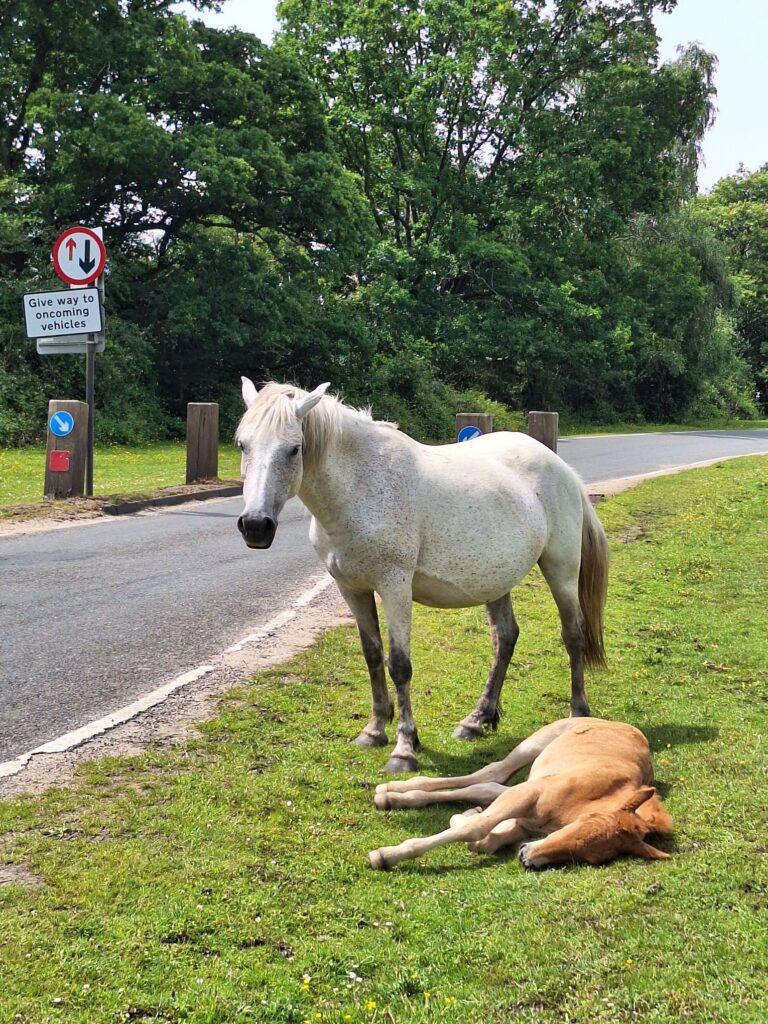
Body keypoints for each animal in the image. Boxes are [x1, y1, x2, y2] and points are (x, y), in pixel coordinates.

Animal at [235, 379, 609, 774]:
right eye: (242, 444)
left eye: (294, 449)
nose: (256, 526)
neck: (361, 487)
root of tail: (562, 468)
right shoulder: (351, 589)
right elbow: (372, 655)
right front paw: (374, 731)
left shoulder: (394, 588)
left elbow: (399, 665)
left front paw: (404, 748)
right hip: (496, 581)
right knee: (505, 638)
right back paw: (476, 720)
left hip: (561, 568)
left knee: (573, 634)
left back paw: (577, 714)